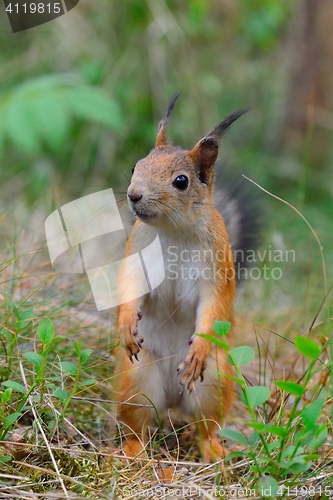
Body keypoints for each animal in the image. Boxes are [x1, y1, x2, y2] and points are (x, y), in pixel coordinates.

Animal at [111, 94, 254, 460]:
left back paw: (214, 452)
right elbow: (129, 286)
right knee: (138, 423)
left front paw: (199, 348)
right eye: (135, 166)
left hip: (214, 382)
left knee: (207, 426)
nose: (133, 194)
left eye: (181, 181)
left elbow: (214, 305)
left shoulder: (217, 267)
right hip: (137, 379)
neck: (173, 231)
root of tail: (173, 403)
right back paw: (134, 451)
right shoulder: (137, 252)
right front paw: (126, 323)